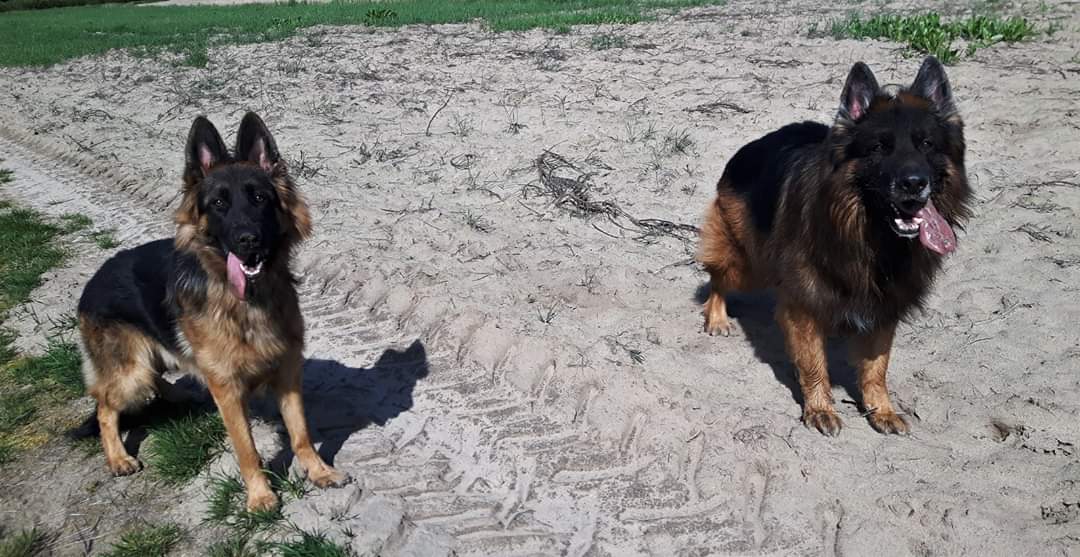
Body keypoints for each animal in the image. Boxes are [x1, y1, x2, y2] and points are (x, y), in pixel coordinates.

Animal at [78, 112, 346, 510]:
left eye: (260, 198)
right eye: (219, 204)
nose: (248, 240)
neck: (247, 302)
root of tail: (93, 281)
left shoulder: (287, 373)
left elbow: (300, 433)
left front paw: (318, 471)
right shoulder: (229, 389)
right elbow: (246, 449)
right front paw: (260, 496)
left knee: (154, 377)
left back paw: (178, 394)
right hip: (131, 371)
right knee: (105, 407)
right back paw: (117, 457)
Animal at [698, 57, 972, 435]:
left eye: (927, 145)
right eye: (879, 147)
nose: (914, 183)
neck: (867, 237)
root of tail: (750, 147)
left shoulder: (885, 305)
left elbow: (877, 367)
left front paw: (881, 410)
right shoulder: (804, 305)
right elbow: (814, 363)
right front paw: (819, 408)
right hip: (747, 262)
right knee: (718, 279)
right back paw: (717, 317)